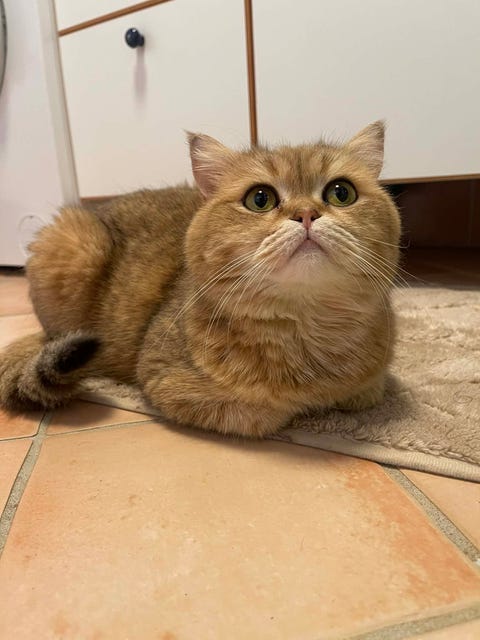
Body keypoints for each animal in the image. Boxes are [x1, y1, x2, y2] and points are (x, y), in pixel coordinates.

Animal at [0, 121, 401, 437]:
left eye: (341, 192)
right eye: (260, 199)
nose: (306, 213)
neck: (304, 326)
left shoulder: (372, 385)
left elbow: (360, 394)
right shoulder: (166, 383)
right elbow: (267, 412)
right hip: (73, 242)